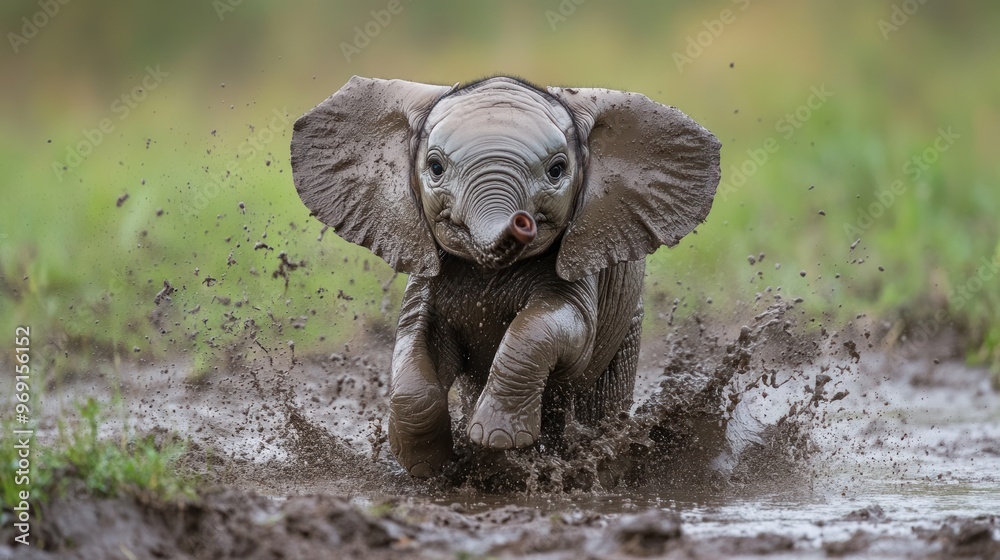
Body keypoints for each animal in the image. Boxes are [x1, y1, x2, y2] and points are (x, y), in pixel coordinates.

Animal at [290, 75, 721, 477]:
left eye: (557, 170)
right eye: (435, 167)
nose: (521, 221)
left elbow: (558, 328)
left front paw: (496, 440)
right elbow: (416, 338)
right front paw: (427, 465)